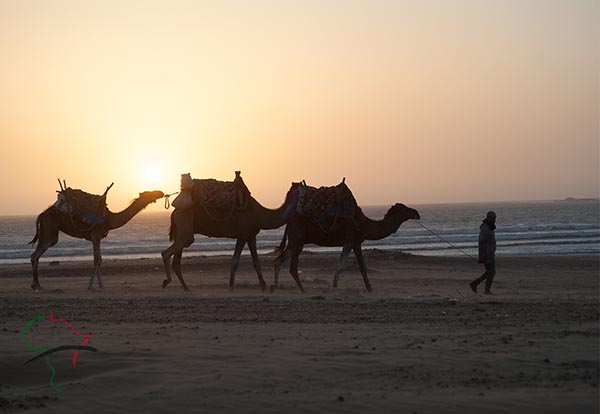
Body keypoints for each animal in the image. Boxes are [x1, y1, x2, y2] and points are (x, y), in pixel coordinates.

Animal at [162, 181, 300, 292]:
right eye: (302, 190)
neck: (259, 213)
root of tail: (174, 212)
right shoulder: (243, 234)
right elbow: (235, 261)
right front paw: (231, 286)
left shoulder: (251, 236)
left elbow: (256, 262)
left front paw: (263, 286)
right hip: (184, 226)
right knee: (168, 252)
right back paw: (166, 282)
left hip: (181, 231)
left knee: (177, 260)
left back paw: (185, 287)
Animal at [274, 202, 420, 292]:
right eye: (404, 208)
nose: (416, 212)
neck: (364, 225)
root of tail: (289, 222)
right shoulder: (351, 241)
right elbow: (343, 266)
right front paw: (336, 288)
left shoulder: (355, 243)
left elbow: (358, 267)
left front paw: (368, 289)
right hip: (296, 240)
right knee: (284, 262)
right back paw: (290, 289)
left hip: (298, 241)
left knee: (287, 264)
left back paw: (287, 288)